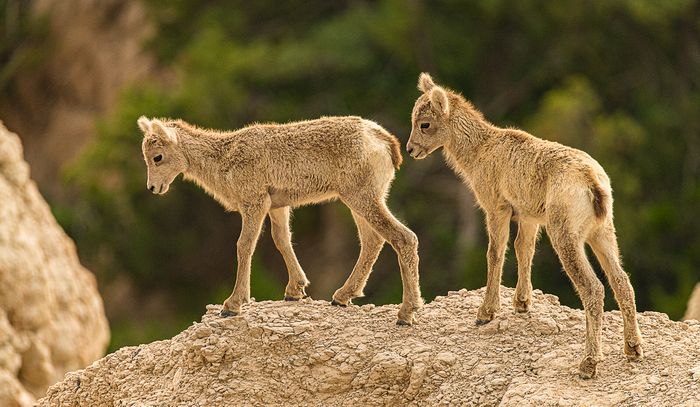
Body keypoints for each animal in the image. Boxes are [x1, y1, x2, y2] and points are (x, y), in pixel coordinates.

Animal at [137, 115, 422, 326]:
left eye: (157, 157)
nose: (153, 187)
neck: (224, 160)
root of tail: (386, 142)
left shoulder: (255, 203)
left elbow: (244, 246)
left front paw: (232, 305)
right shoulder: (278, 206)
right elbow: (282, 240)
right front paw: (295, 291)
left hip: (363, 198)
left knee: (403, 238)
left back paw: (405, 314)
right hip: (360, 200)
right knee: (372, 241)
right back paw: (342, 297)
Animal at [408, 73, 644, 380]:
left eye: (424, 124)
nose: (411, 150)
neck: (481, 151)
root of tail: (593, 183)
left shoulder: (496, 209)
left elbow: (496, 253)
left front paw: (486, 313)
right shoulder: (530, 219)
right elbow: (524, 250)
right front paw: (521, 304)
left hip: (566, 237)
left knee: (593, 289)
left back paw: (588, 364)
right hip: (602, 233)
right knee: (622, 282)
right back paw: (633, 349)